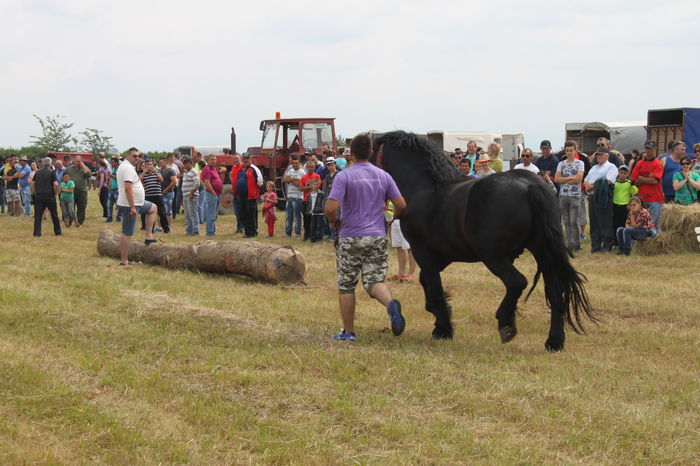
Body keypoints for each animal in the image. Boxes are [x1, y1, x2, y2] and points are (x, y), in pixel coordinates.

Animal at [370, 131, 595, 351]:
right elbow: (426, 281)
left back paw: (506, 323)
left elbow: (433, 286)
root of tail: (530, 186)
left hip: (494, 257)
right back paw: (554, 341)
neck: (426, 187)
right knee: (555, 292)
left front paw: (443, 328)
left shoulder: (422, 252)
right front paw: (441, 320)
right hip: (542, 251)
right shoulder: (443, 255)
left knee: (517, 282)